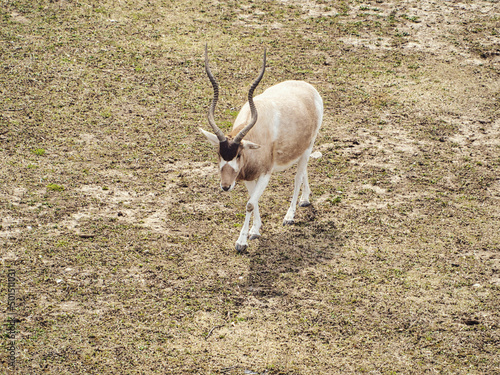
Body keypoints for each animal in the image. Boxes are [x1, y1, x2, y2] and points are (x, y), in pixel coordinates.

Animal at [200, 46, 324, 253]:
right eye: (218, 154)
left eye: (239, 154)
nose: (226, 186)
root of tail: (309, 88)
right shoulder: (249, 177)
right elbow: (253, 199)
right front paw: (255, 230)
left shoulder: (265, 174)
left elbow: (250, 204)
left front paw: (241, 242)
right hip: (301, 149)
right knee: (303, 169)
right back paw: (305, 199)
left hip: (309, 145)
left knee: (298, 177)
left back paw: (289, 216)